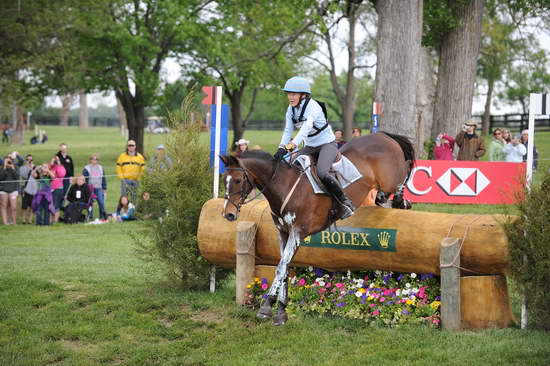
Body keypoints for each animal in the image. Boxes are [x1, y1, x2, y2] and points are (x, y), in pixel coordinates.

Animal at [222, 132, 416, 326]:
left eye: (238, 180)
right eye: (224, 181)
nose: (228, 214)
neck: (283, 185)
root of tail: (382, 135)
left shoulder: (298, 232)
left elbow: (280, 267)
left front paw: (266, 306)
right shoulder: (283, 233)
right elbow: (285, 268)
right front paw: (281, 312)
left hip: (390, 179)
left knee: (405, 171)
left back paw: (402, 199)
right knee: (383, 197)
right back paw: (395, 202)